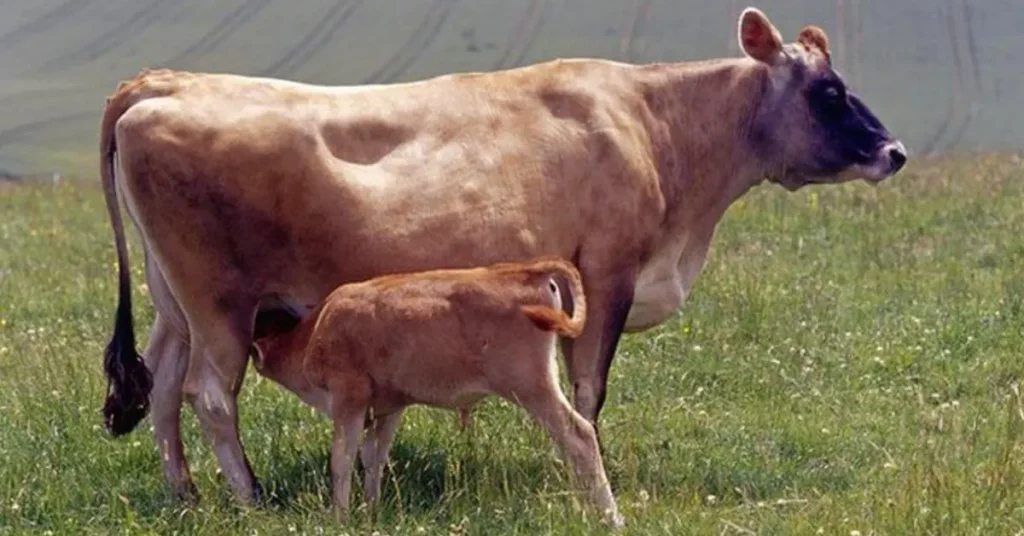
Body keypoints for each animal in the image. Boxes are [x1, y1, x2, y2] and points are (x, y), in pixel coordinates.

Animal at [248, 258, 623, 527]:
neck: (318, 327)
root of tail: (525, 270)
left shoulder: (348, 400)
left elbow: (341, 458)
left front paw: (339, 517)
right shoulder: (389, 408)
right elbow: (373, 457)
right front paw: (370, 510)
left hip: (532, 388)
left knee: (579, 435)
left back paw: (611, 517)